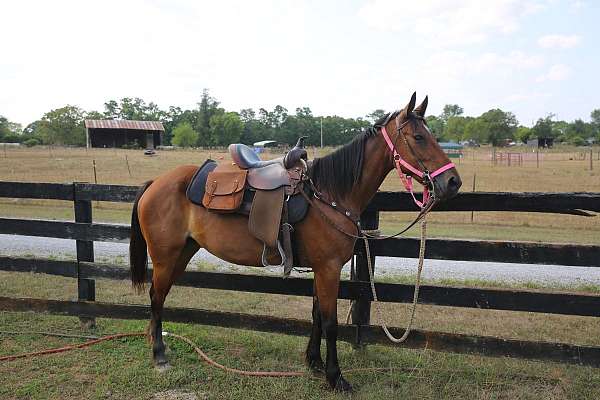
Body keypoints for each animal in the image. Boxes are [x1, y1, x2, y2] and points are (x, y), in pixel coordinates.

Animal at [129, 94, 462, 390]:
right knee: (156, 297)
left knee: (160, 296)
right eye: (419, 137)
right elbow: (330, 322)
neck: (330, 194)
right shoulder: (328, 268)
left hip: (183, 253)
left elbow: (316, 315)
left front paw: (313, 362)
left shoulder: (321, 269)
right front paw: (335, 377)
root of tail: (155, 183)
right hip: (165, 256)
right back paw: (159, 355)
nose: (453, 182)